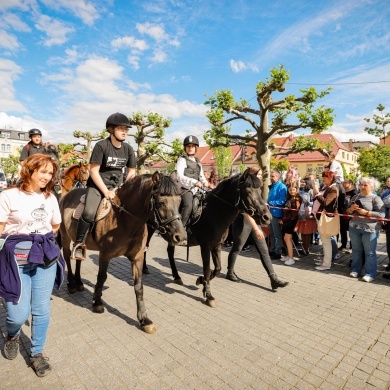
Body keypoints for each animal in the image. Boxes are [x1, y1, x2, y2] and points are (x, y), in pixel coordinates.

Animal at [58, 172, 187, 334]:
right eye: (161, 202)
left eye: (179, 201)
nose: (180, 237)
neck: (125, 219)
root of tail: (66, 195)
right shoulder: (105, 255)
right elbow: (102, 278)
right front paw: (97, 302)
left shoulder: (137, 258)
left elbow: (139, 286)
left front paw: (144, 319)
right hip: (65, 236)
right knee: (67, 257)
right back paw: (71, 284)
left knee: (79, 258)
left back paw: (79, 282)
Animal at [144, 169, 272, 310]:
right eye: (248, 192)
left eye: (260, 190)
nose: (267, 217)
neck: (214, 213)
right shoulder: (205, 247)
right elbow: (206, 268)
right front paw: (209, 295)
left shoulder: (217, 245)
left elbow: (217, 269)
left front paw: (201, 282)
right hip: (148, 228)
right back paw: (145, 268)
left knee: (170, 252)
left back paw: (177, 276)